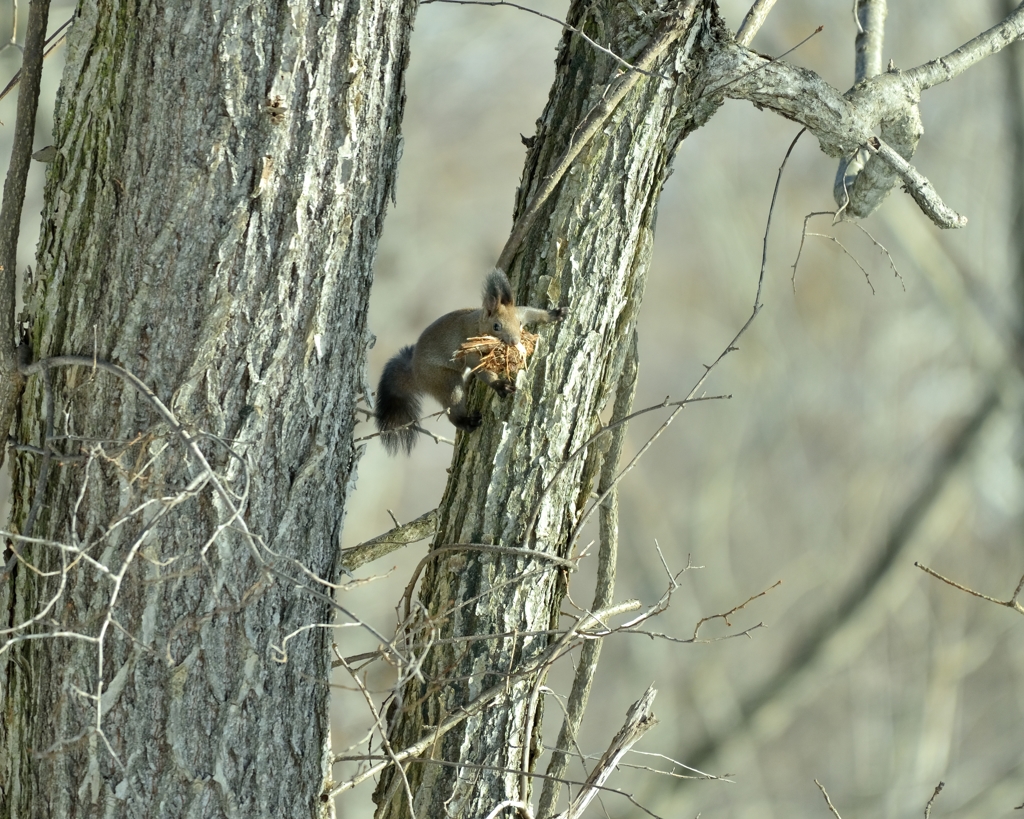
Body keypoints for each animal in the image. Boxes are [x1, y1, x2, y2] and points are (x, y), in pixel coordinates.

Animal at [376, 270, 569, 454]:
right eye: (496, 326)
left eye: (519, 323)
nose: (514, 341)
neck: (478, 324)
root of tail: (415, 372)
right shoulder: (469, 349)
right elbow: (481, 370)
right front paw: (500, 385)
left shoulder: (520, 311)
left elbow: (533, 311)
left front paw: (554, 314)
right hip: (443, 380)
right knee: (453, 406)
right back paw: (466, 422)